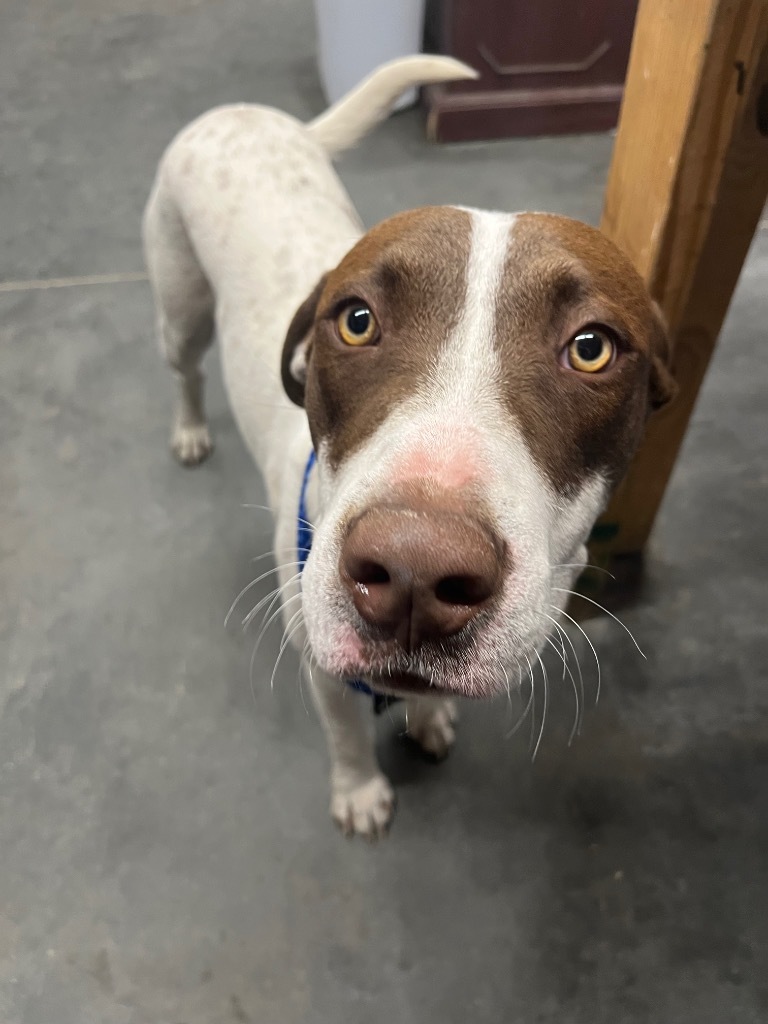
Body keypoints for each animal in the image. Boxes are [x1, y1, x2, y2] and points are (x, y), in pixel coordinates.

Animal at [143, 56, 671, 835]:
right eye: (356, 320)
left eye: (591, 347)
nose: (414, 572)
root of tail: (247, 114)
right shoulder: (322, 662)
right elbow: (345, 735)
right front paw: (360, 791)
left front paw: (426, 719)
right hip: (180, 304)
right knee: (185, 369)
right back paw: (188, 428)